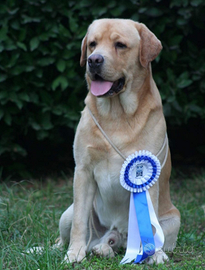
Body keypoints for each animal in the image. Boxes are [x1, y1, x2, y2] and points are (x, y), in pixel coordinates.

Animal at [58, 18, 180, 264]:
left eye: (120, 45)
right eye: (93, 44)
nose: (94, 60)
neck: (116, 114)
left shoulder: (150, 178)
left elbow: (151, 223)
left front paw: (154, 254)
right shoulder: (83, 170)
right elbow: (79, 223)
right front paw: (74, 254)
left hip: (174, 220)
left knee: (120, 241)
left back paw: (111, 247)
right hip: (67, 213)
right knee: (71, 236)